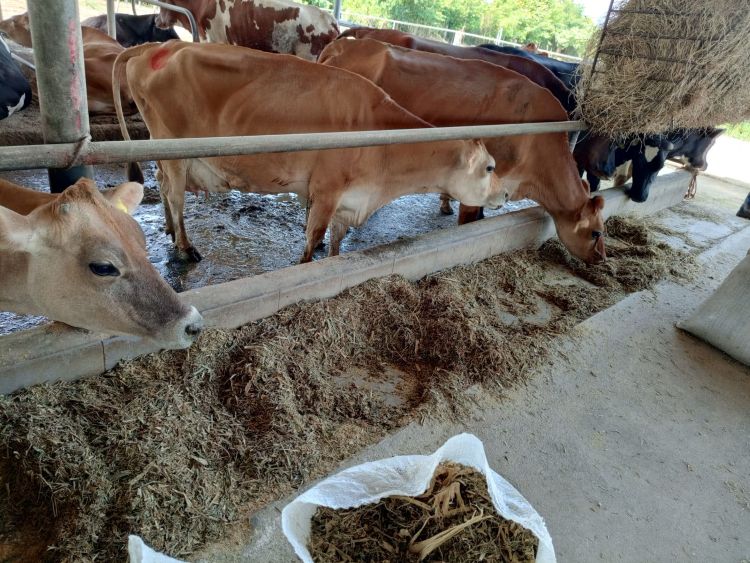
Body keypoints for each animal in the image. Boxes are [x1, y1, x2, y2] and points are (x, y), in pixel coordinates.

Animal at [113, 42, 507, 263]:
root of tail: (158, 46)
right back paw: (184, 247)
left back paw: (167, 229)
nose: (505, 193)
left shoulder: (349, 198)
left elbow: (336, 241)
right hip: (174, 148)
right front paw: (304, 264)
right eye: (490, 167)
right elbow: (314, 238)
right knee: (175, 195)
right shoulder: (326, 190)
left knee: (163, 185)